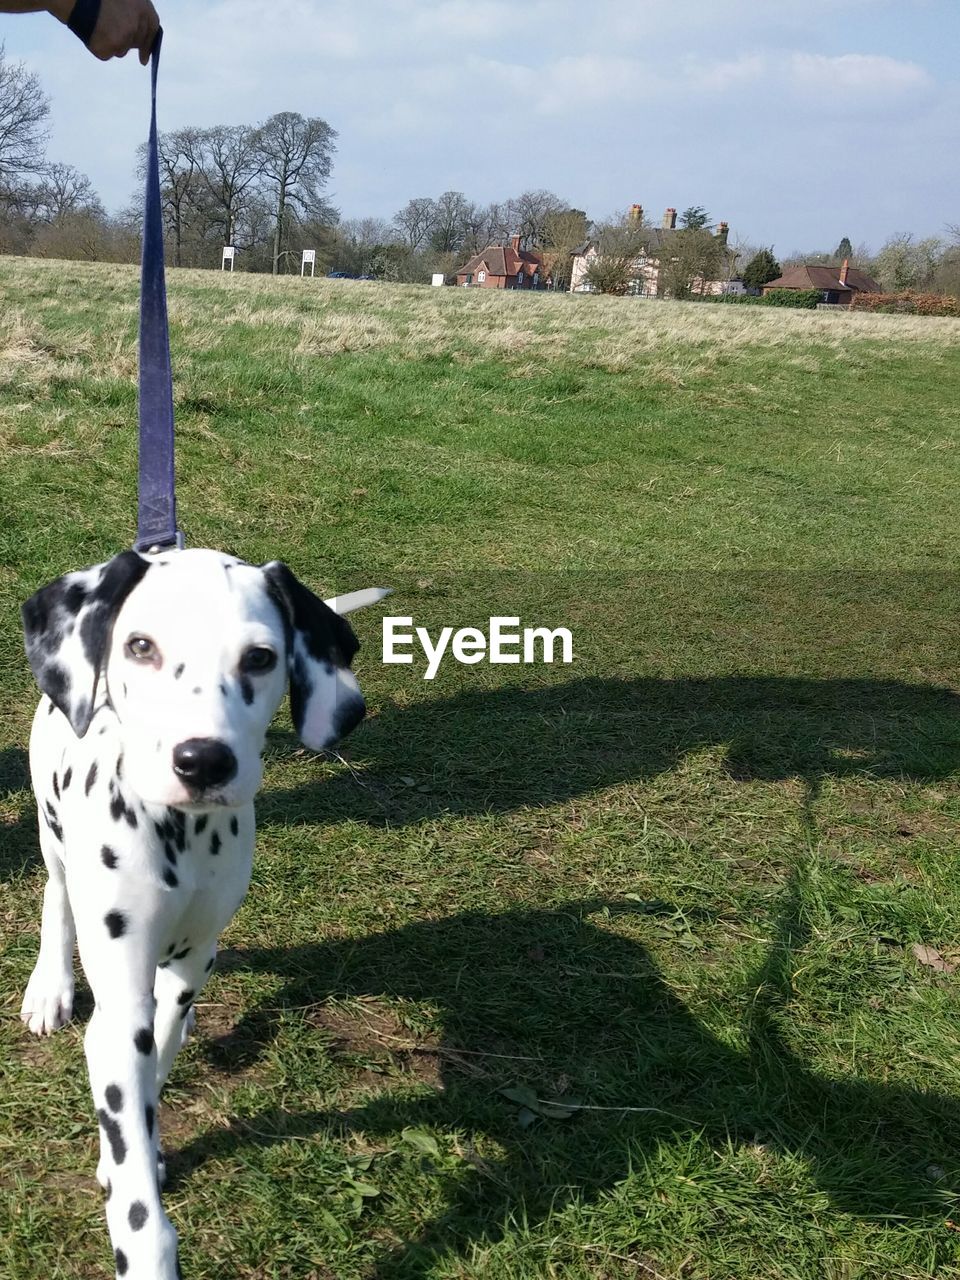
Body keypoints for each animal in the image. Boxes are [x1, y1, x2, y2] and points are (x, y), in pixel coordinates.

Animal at [19, 550, 386, 1280]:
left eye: (260, 658)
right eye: (140, 647)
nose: (202, 760)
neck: (179, 831)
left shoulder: (188, 962)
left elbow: (157, 1056)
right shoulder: (121, 998)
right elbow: (136, 1190)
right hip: (50, 825)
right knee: (56, 894)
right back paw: (50, 985)